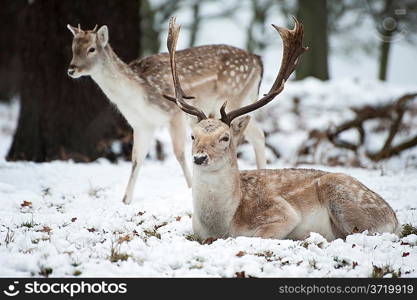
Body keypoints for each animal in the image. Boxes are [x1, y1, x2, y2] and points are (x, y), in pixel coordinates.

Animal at [65, 20, 266, 204]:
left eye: (91, 49)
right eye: (73, 48)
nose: (71, 69)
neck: (137, 96)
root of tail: (258, 60)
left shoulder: (174, 113)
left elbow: (179, 153)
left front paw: (191, 188)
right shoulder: (141, 124)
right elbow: (136, 158)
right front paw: (125, 201)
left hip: (233, 99)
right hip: (242, 102)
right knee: (258, 134)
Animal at [165, 17, 400, 241]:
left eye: (225, 137)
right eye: (192, 136)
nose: (199, 158)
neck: (222, 224)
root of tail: (394, 219)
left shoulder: (284, 213)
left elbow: (259, 235)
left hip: (346, 198)